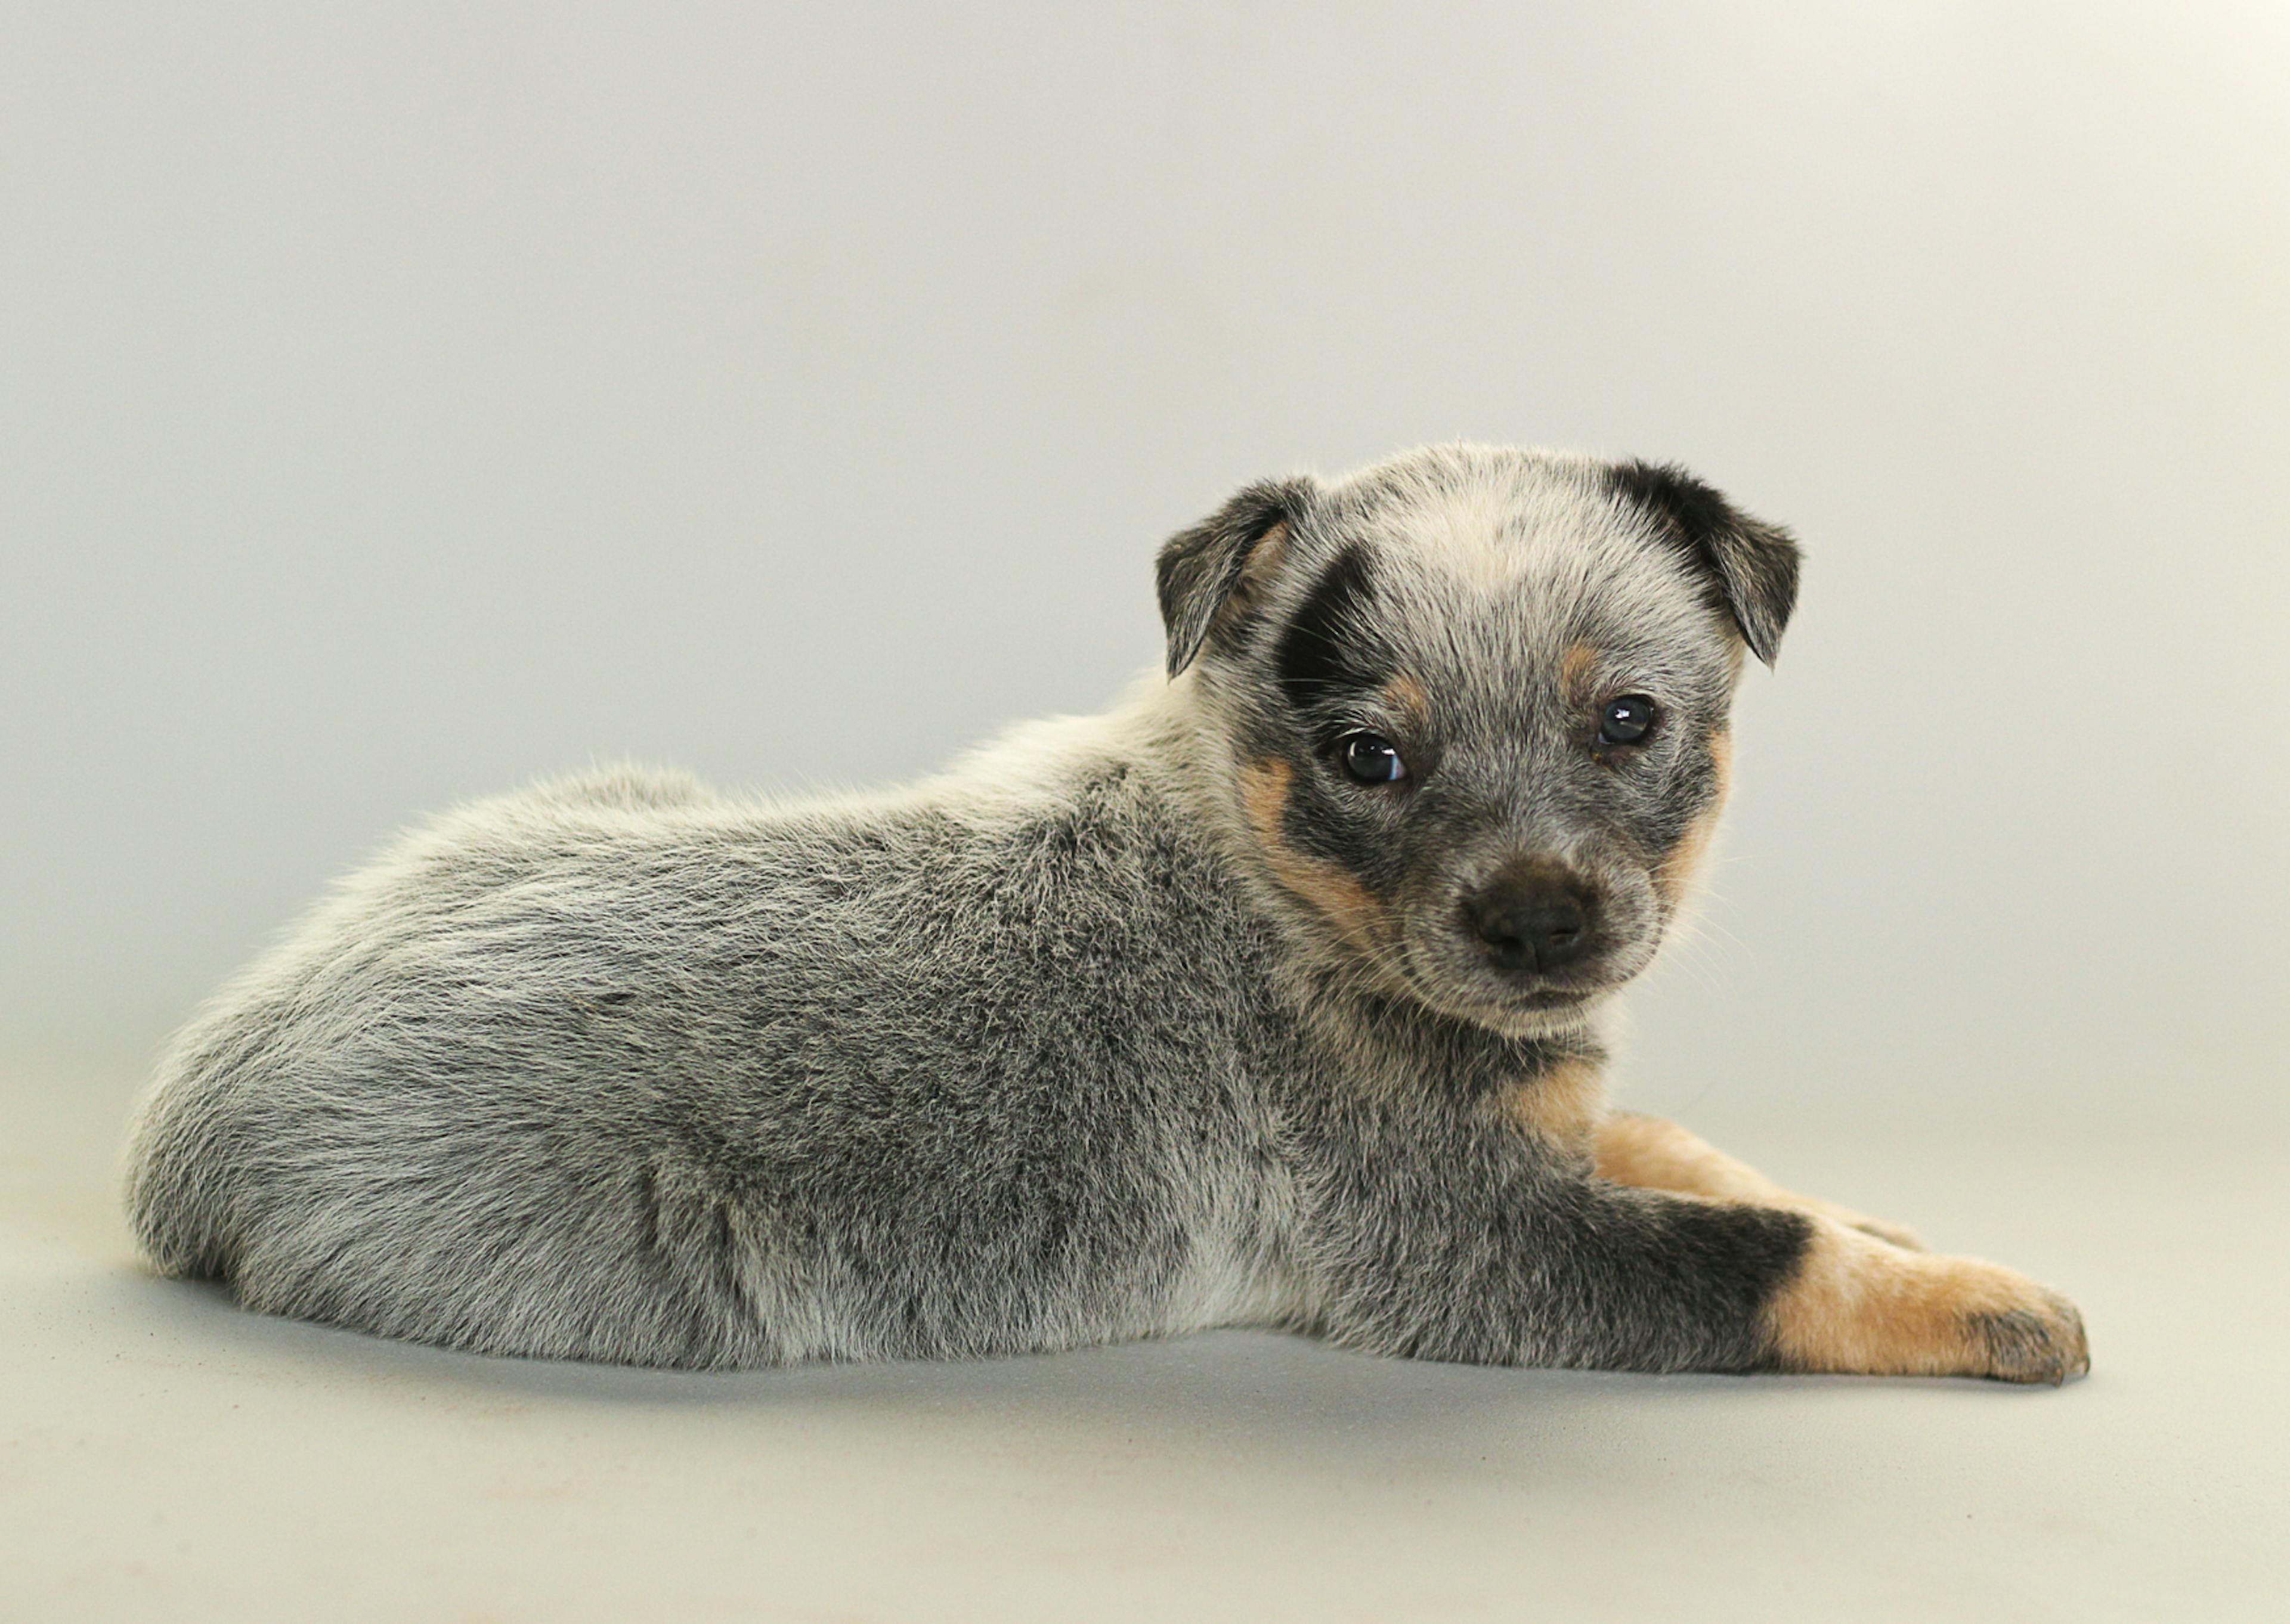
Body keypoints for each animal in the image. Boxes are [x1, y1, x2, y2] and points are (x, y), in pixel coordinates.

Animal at [125, 444, 2097, 1383]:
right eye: (1371, 754)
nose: (1542, 930)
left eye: (1627, 721)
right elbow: (1755, 1255)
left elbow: (1689, 1143)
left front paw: (1869, 1202)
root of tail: (188, 1111)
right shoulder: (1459, 1241)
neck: (1266, 868)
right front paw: (1990, 1297)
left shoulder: (1535, 1104)